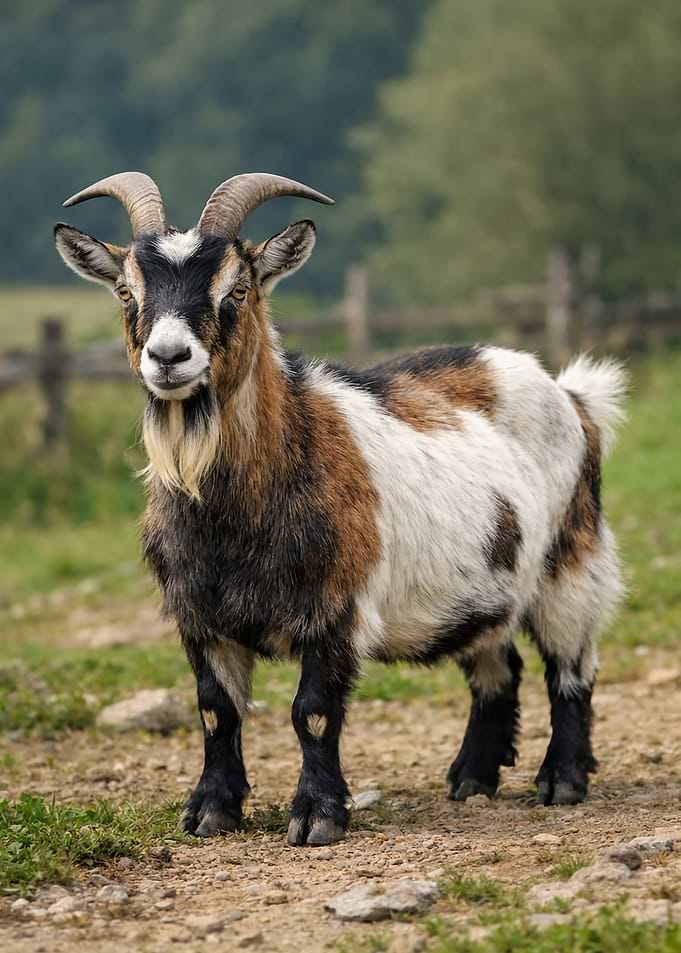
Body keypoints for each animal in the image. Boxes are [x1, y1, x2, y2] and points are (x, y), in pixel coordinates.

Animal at [55, 171, 626, 846]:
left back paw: (561, 781)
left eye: (238, 289)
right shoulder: (199, 614)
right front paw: (210, 811)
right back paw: (470, 778)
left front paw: (316, 816)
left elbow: (314, 713)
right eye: (125, 291)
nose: (169, 358)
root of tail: (571, 394)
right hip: (487, 582)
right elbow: (216, 711)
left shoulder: (336, 607)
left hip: (571, 557)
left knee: (571, 668)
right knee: (498, 665)